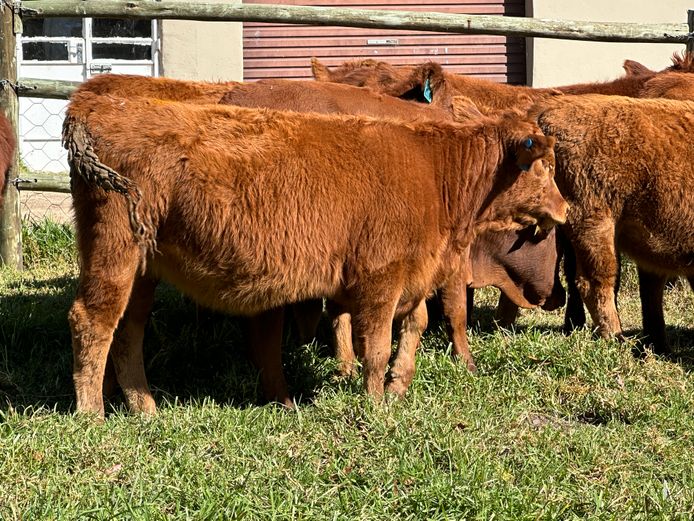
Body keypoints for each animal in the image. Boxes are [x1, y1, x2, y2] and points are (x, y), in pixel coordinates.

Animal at [62, 90, 568, 414]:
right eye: (544, 167)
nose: (565, 208)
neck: (436, 171)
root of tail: (99, 106)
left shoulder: (415, 272)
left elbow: (418, 324)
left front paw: (400, 385)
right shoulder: (380, 278)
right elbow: (376, 346)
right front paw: (376, 404)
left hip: (143, 267)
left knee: (128, 329)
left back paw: (143, 407)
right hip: (113, 250)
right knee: (93, 320)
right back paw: (92, 414)